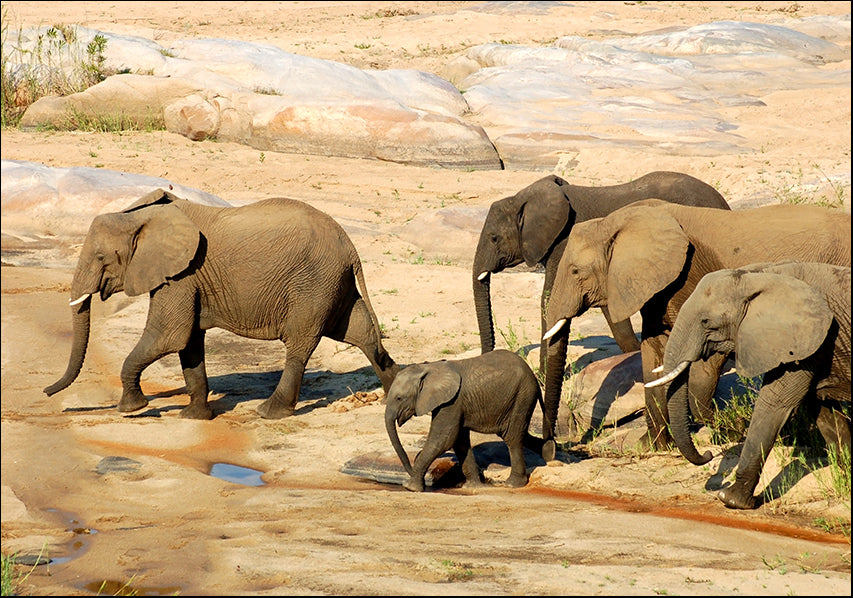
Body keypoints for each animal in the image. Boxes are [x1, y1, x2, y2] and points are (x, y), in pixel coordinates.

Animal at [44, 189, 400, 420]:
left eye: (101, 258)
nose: (46, 392)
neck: (143, 218)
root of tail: (350, 246)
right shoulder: (188, 278)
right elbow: (188, 343)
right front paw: (194, 417)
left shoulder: (181, 275)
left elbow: (168, 336)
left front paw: (132, 409)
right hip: (332, 284)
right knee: (360, 332)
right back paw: (395, 394)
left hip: (313, 283)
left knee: (300, 344)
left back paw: (269, 413)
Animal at [384, 349, 544, 492]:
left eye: (399, 398)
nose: (409, 471)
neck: (431, 366)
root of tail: (533, 375)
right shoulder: (455, 404)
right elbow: (459, 441)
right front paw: (472, 486)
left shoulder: (452, 402)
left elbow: (442, 440)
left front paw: (409, 487)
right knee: (516, 434)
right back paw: (548, 452)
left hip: (522, 396)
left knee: (512, 437)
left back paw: (512, 484)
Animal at [472, 171, 729, 377]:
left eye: (494, 238)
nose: (486, 358)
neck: (522, 199)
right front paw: (633, 354)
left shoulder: (564, 243)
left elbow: (548, 298)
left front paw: (542, 378)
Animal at [542, 200, 851, 453]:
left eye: (575, 271)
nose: (552, 448)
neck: (619, 219)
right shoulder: (657, 288)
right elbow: (653, 356)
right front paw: (651, 446)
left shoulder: (690, 276)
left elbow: (704, 363)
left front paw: (730, 429)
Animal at [647, 262, 851, 509]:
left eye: (706, 322)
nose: (708, 454)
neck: (762, 275)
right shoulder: (808, 345)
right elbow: (823, 412)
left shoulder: (804, 339)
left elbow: (774, 405)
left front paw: (731, 499)